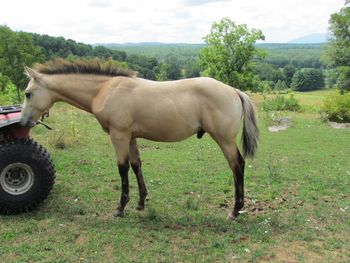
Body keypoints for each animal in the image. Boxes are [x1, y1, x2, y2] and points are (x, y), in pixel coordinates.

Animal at [20, 59, 258, 221]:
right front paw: (141, 202)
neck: (104, 90)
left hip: (224, 140)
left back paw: (235, 210)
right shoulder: (131, 137)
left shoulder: (119, 135)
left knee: (237, 165)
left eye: (28, 93)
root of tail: (233, 91)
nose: (23, 122)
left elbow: (122, 168)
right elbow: (136, 165)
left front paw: (120, 208)